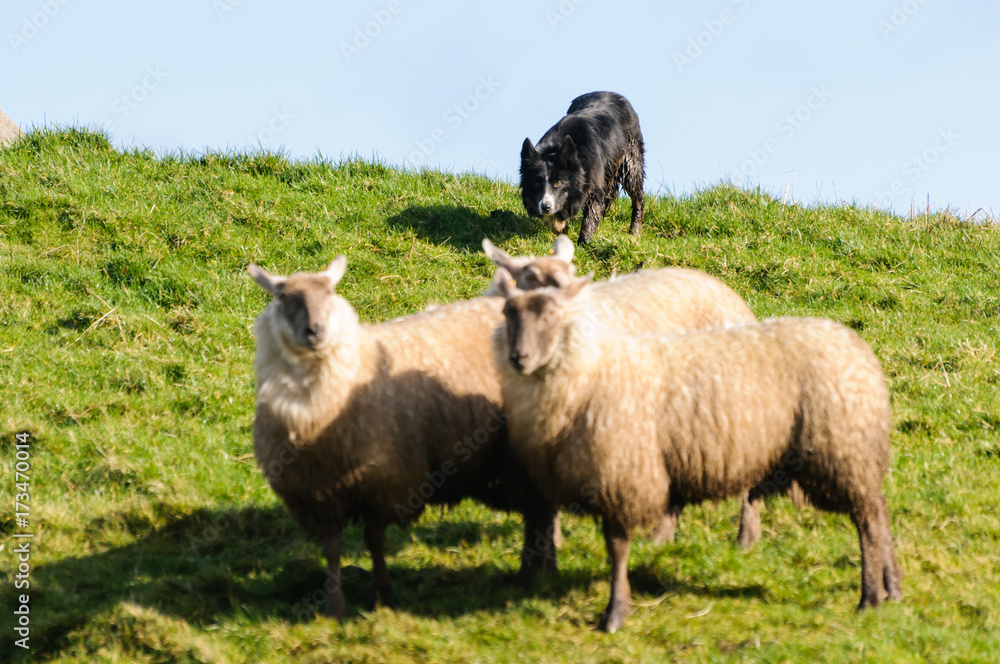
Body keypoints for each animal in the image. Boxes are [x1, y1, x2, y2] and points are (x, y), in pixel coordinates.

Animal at [247, 256, 560, 620]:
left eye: (330, 292)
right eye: (284, 297)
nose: (316, 331)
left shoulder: (384, 482)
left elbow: (374, 540)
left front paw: (381, 594)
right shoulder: (317, 495)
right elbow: (332, 550)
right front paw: (335, 605)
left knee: (540, 512)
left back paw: (535, 572)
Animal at [496, 272, 904, 632]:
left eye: (551, 314)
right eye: (508, 312)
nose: (519, 357)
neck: (590, 368)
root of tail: (859, 349)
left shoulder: (621, 473)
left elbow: (617, 548)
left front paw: (614, 614)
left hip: (843, 452)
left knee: (868, 521)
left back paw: (870, 596)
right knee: (880, 512)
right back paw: (893, 587)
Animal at [520, 92, 644, 245]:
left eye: (559, 183)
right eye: (536, 183)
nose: (545, 207)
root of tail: (612, 93)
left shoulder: (595, 186)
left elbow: (591, 215)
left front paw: (584, 243)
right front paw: (561, 229)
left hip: (630, 162)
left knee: (637, 196)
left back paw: (635, 231)